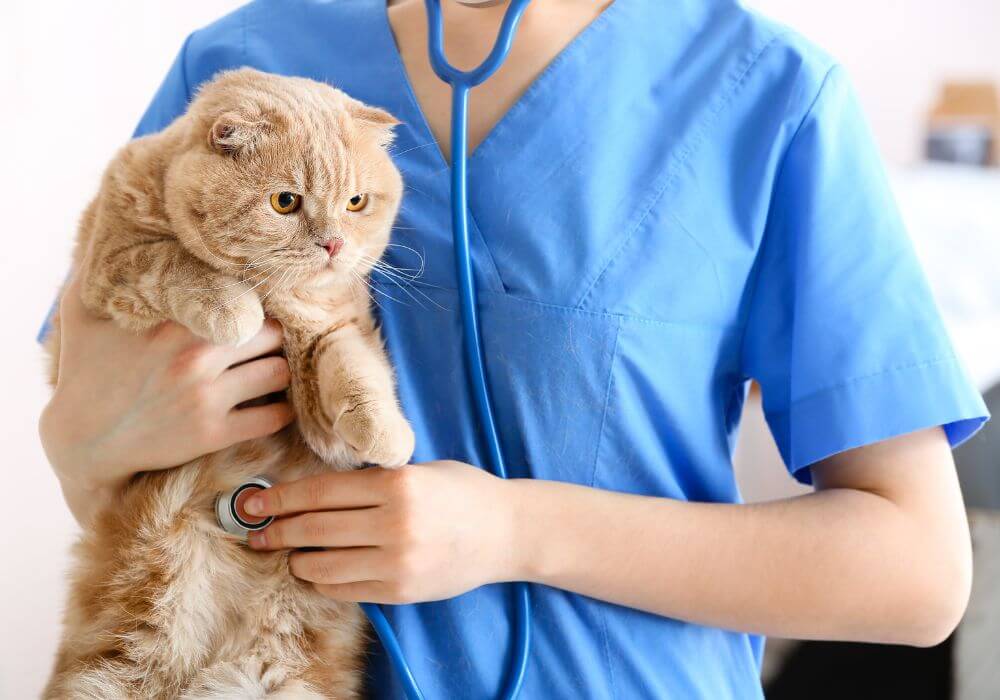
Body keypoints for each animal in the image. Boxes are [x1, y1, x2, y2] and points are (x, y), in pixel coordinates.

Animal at [43, 67, 416, 700]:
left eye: (356, 202)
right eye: (285, 201)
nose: (334, 244)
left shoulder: (329, 349)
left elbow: (353, 369)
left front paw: (385, 432)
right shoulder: (110, 266)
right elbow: (176, 263)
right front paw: (232, 309)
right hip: (108, 676)